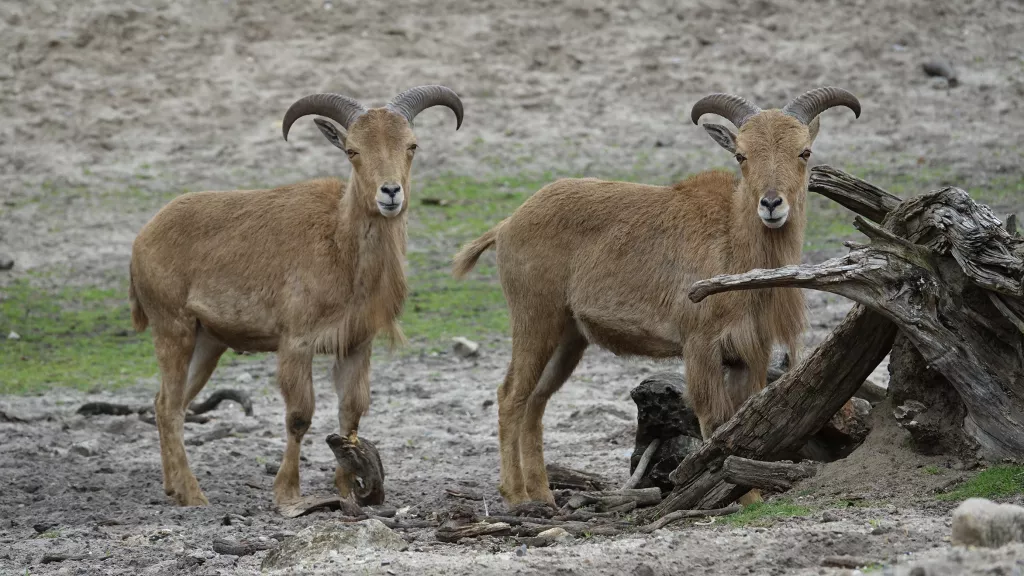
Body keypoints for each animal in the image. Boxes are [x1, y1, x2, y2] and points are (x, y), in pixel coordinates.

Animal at [129, 83, 464, 504]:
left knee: (163, 403)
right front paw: (287, 491)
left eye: (411, 145)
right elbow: (299, 417)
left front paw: (347, 488)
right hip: (173, 328)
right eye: (352, 150)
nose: (390, 192)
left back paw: (172, 487)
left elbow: (351, 413)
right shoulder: (296, 344)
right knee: (172, 407)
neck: (340, 245)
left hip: (208, 343)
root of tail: (142, 239)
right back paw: (194, 495)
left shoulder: (356, 345)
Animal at [452, 86, 860, 506]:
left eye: (804, 152)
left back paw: (543, 494)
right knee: (510, 396)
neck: (734, 242)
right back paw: (516, 495)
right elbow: (715, 420)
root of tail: (506, 225)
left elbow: (744, 419)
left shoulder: (748, 352)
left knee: (536, 401)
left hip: (569, 337)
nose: (772, 204)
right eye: (741, 155)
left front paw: (751, 495)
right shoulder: (700, 345)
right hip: (535, 319)